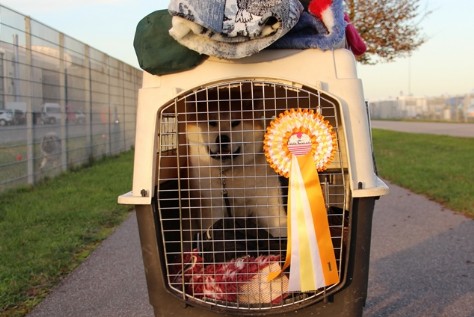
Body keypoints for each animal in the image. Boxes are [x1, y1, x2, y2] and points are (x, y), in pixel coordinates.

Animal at [156, 80, 348, 308]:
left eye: (235, 122)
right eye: (211, 122)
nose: (222, 139)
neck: (229, 174)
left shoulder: (266, 199)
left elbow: (275, 225)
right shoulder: (213, 204)